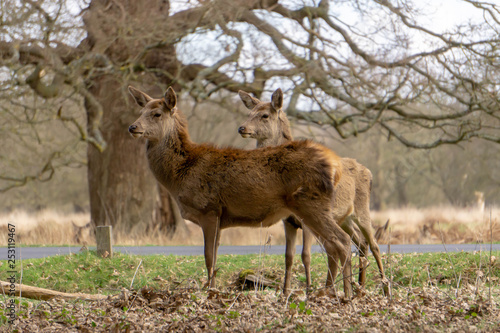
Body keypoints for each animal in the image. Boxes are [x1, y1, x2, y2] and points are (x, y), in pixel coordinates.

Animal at [129, 85, 356, 298]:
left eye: (157, 114)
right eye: (141, 111)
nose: (132, 126)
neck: (180, 175)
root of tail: (335, 166)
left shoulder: (209, 209)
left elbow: (208, 257)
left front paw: (209, 291)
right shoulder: (220, 217)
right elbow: (215, 255)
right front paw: (213, 288)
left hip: (311, 203)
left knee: (343, 241)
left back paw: (346, 294)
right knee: (332, 246)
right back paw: (331, 292)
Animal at [238, 87, 390, 294]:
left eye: (265, 115)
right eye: (249, 113)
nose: (242, 128)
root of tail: (370, 173)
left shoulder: (306, 220)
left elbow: (306, 255)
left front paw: (309, 289)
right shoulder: (288, 221)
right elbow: (289, 257)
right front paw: (285, 292)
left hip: (361, 209)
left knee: (373, 244)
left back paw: (384, 287)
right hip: (343, 218)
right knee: (360, 243)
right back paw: (360, 286)